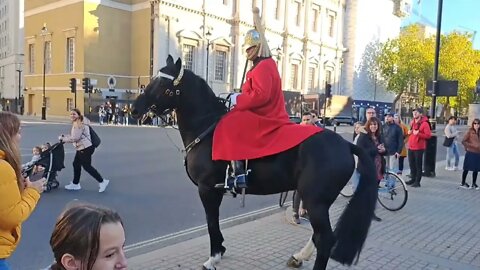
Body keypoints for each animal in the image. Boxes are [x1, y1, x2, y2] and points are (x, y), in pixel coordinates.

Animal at [131, 55, 378, 270]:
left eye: (163, 85)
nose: (134, 109)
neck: (207, 129)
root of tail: (345, 144)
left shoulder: (207, 188)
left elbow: (211, 221)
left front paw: (213, 257)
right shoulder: (214, 190)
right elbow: (214, 222)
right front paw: (220, 249)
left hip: (315, 201)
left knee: (325, 239)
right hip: (318, 201)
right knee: (320, 237)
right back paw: (299, 256)